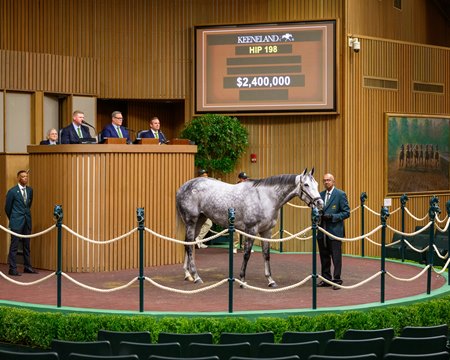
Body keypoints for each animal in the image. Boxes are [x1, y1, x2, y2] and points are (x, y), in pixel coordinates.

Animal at [176, 168, 324, 286]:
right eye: (306, 184)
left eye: (316, 184)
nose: (320, 203)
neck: (265, 197)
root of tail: (183, 187)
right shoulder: (251, 230)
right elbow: (247, 254)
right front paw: (242, 279)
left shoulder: (266, 232)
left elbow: (266, 255)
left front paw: (270, 280)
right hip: (191, 221)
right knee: (189, 245)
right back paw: (196, 276)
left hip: (200, 220)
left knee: (188, 243)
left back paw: (188, 274)